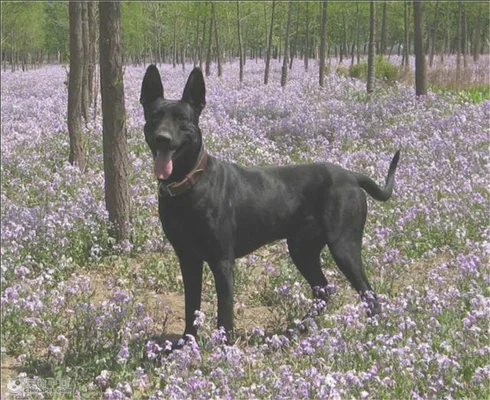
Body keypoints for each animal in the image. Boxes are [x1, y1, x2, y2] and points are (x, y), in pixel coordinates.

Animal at [140, 65, 400, 340]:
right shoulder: (187, 258)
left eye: (182, 119)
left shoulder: (222, 261)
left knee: (368, 293)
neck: (189, 183)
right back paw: (300, 328)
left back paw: (374, 333)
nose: (163, 138)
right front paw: (187, 342)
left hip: (343, 245)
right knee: (323, 289)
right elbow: (191, 306)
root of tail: (351, 175)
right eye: (154, 116)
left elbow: (225, 311)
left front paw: (223, 345)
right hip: (302, 249)